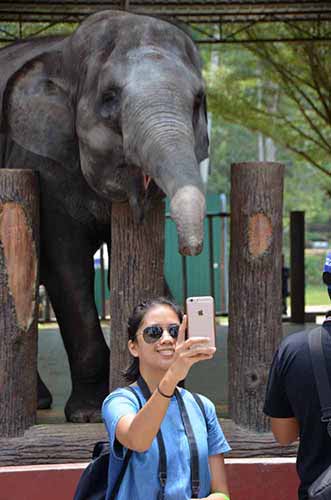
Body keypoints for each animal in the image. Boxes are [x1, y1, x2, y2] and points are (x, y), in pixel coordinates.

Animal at [0, 8, 209, 422]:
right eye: (109, 97)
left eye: (198, 101)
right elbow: (65, 266)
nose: (191, 249)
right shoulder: (42, 165)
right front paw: (88, 414)